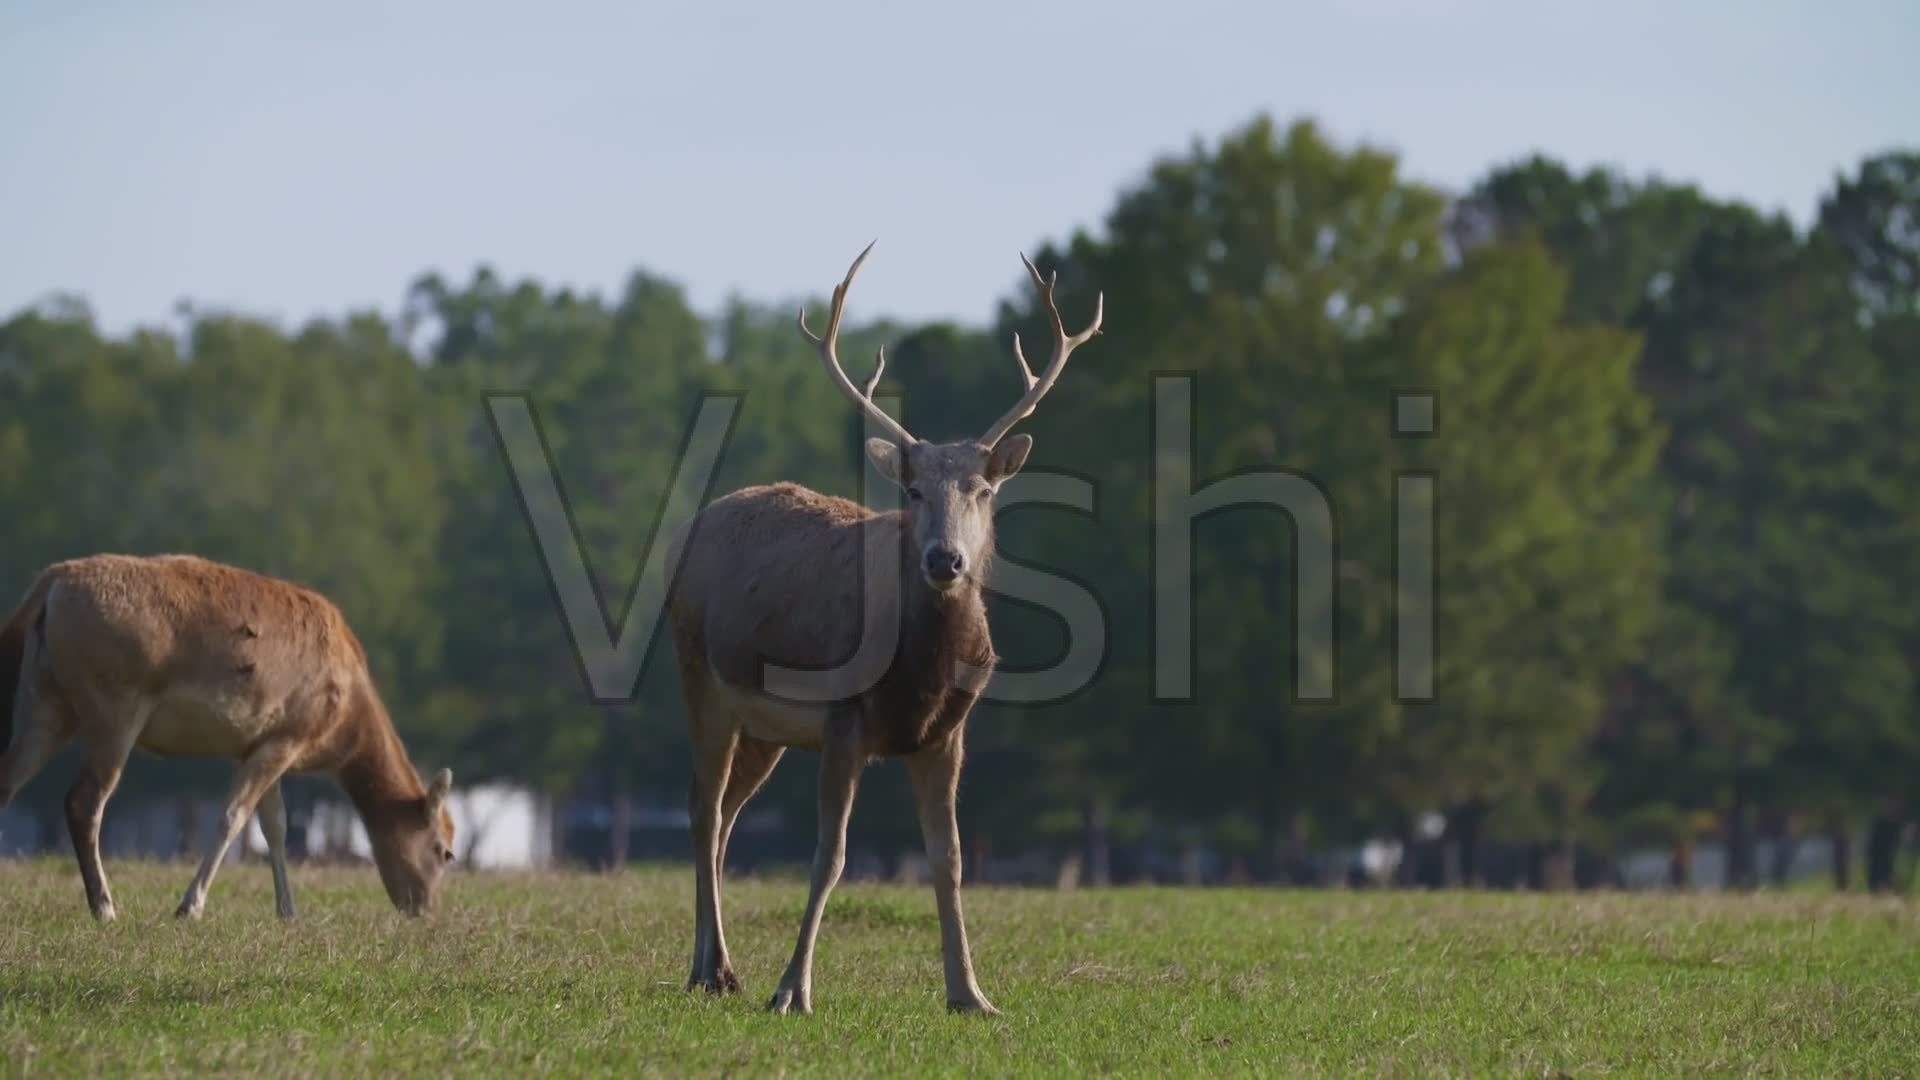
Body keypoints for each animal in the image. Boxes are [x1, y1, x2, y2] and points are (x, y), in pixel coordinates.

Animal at [0, 553, 456, 914]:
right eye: (444, 850)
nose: (426, 909)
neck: (343, 726)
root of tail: (48, 587)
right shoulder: (289, 734)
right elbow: (233, 816)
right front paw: (190, 906)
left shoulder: (255, 743)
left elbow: (275, 825)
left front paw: (288, 913)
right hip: (113, 705)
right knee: (84, 801)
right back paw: (106, 908)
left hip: (45, 700)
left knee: (9, 779)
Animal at [668, 242, 1105, 1006]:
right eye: (913, 489)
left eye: (981, 489)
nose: (944, 558)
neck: (919, 675)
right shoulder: (844, 720)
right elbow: (830, 855)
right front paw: (794, 990)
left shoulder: (947, 732)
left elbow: (950, 858)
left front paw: (971, 994)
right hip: (701, 676)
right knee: (702, 810)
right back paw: (710, 969)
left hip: (765, 728)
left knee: (725, 817)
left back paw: (717, 965)